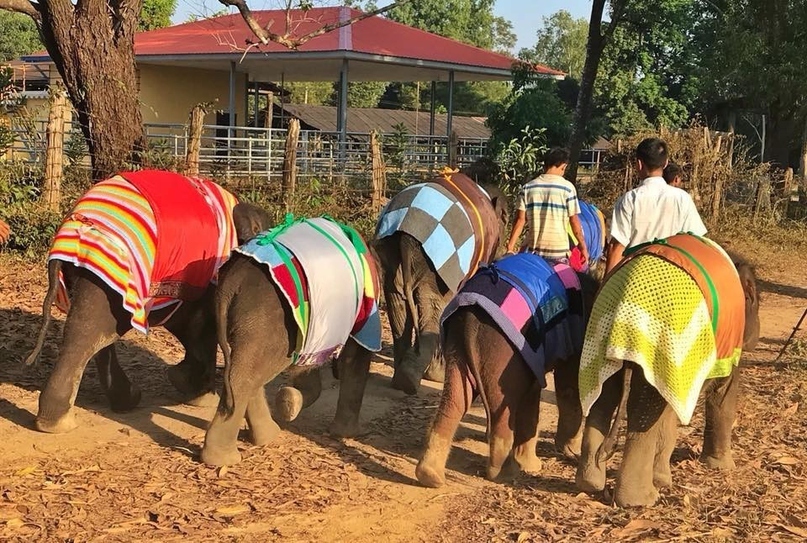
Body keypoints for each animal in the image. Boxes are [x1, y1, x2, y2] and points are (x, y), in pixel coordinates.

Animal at [24, 172, 272, 436]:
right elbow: (201, 326)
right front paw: (198, 394)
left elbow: (187, 322)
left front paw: (180, 379)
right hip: (116, 273)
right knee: (90, 334)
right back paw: (57, 423)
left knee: (94, 332)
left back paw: (124, 401)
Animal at [200, 216, 380, 468]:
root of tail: (230, 283)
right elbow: (357, 354)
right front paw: (347, 433)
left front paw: (290, 402)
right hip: (269, 320)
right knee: (248, 374)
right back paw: (222, 458)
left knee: (247, 370)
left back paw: (268, 432)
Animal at [374, 166, 512, 396]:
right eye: (507, 220)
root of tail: (406, 237)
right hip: (436, 263)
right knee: (434, 306)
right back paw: (424, 377)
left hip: (390, 254)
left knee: (397, 302)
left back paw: (403, 378)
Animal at [416, 255, 600, 488]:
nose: (571, 455)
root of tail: (470, 319)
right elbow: (569, 387)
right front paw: (542, 463)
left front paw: (534, 463)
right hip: (500, 347)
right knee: (502, 405)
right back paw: (505, 474)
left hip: (459, 344)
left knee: (455, 400)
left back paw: (430, 476)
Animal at [576, 235, 760, 510]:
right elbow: (722, 395)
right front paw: (721, 467)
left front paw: (662, 478)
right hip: (658, 339)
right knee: (643, 407)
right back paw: (640, 500)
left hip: (599, 333)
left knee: (606, 394)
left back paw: (590, 483)